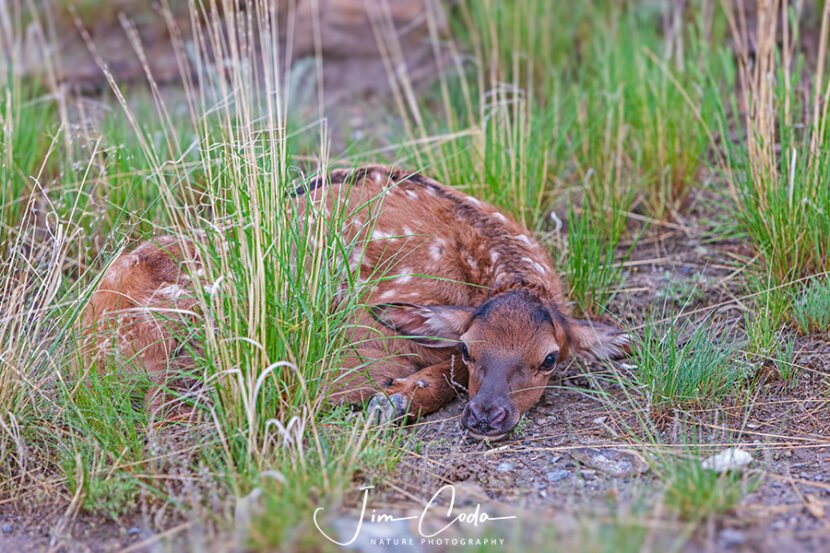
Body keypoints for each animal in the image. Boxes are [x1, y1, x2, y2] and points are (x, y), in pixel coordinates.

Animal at [83, 165, 629, 439]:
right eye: (470, 347)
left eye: (550, 358)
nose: (485, 418)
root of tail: (84, 349)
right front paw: (393, 400)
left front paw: (395, 400)